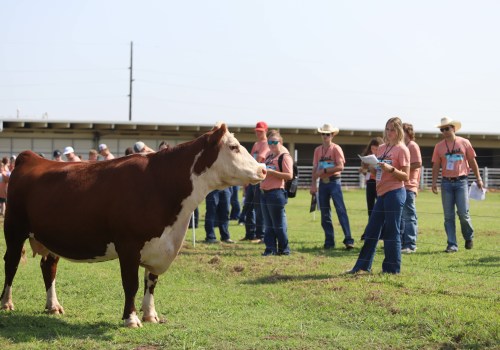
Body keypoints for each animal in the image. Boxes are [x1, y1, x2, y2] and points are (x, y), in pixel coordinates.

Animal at [0, 123, 266, 328]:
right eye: (234, 147)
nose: (263, 169)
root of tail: (31, 157)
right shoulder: (128, 245)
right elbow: (131, 283)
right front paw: (131, 319)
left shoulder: (159, 245)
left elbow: (151, 281)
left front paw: (150, 315)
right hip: (14, 229)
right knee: (11, 264)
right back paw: (7, 303)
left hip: (50, 236)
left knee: (49, 267)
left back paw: (53, 306)